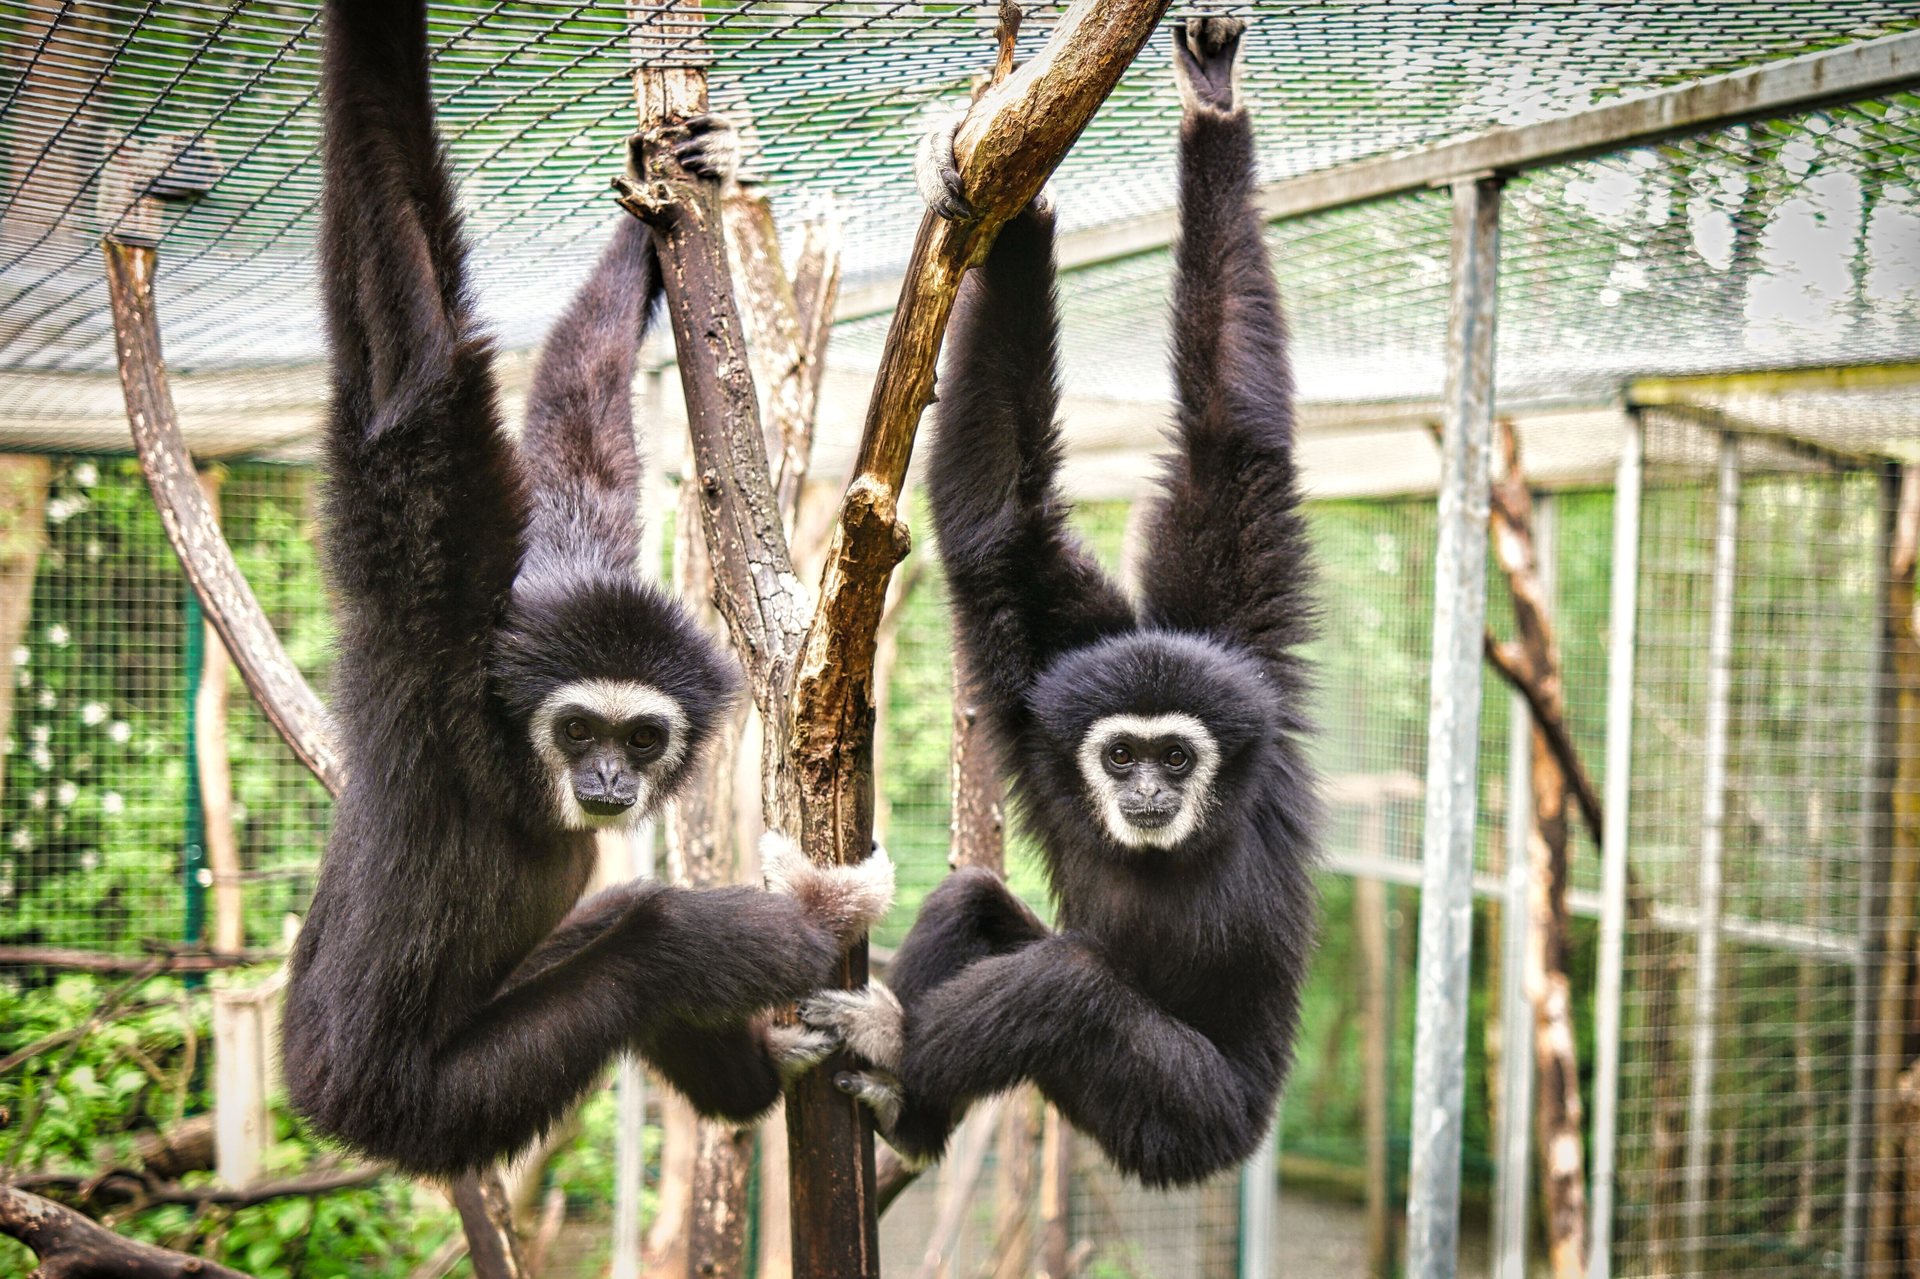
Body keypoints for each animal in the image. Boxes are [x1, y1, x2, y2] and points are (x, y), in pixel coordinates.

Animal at [282, 0, 891, 1177]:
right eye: (577, 731)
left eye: (643, 738)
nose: (609, 777)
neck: (504, 753)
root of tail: (317, 1088)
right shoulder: (430, 633)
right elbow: (408, 372)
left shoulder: (540, 584)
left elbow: (578, 425)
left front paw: (673, 185)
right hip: (436, 1103)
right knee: (651, 944)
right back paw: (813, 920)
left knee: (620, 912)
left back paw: (755, 1073)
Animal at [802, 16, 1317, 1189]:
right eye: (1119, 754)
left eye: (1173, 755)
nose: (1148, 791)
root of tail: (1253, 1123)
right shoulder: (1071, 680)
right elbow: (1008, 521)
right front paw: (1033, 195)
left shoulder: (1251, 698)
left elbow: (1236, 445)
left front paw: (1212, 113)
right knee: (976, 905)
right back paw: (910, 1110)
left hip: (1182, 1123)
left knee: (1070, 992)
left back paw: (897, 1044)